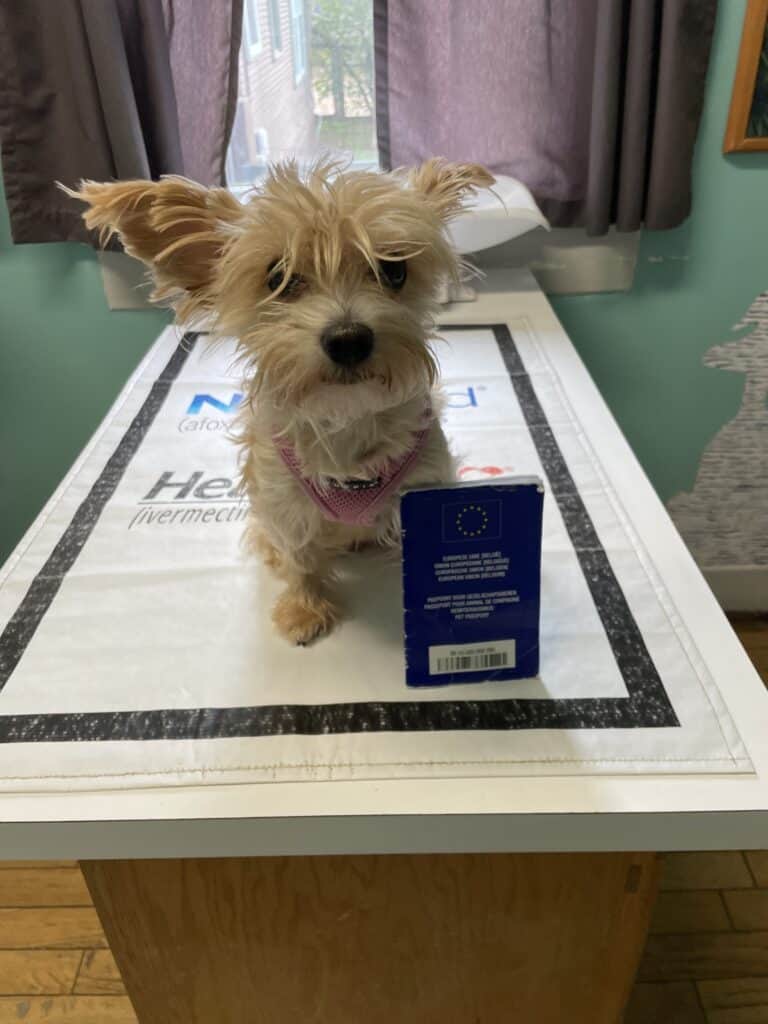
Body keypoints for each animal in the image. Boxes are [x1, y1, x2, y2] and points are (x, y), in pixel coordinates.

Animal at [70, 158, 493, 638]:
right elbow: (299, 555)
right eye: (278, 277)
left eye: (394, 270)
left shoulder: (423, 488)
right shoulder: (283, 500)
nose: (348, 339)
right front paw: (304, 608)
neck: (345, 418)